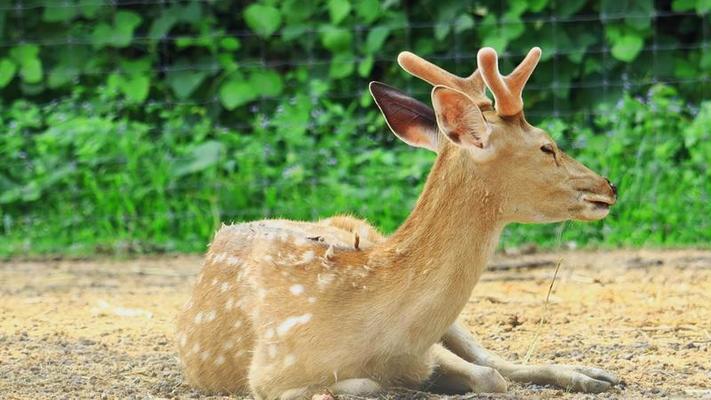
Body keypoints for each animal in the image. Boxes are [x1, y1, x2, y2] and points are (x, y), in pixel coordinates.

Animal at [175, 47, 620, 400]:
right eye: (547, 147)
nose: (609, 185)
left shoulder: (422, 349)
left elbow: (489, 374)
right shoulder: (269, 374)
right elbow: (368, 385)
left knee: (496, 360)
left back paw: (594, 375)